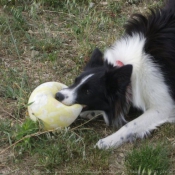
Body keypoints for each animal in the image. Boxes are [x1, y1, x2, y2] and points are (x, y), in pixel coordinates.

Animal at [55, 0, 175, 149]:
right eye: (76, 81)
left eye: (88, 91)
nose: (58, 96)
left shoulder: (164, 107)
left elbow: (131, 125)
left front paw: (108, 141)